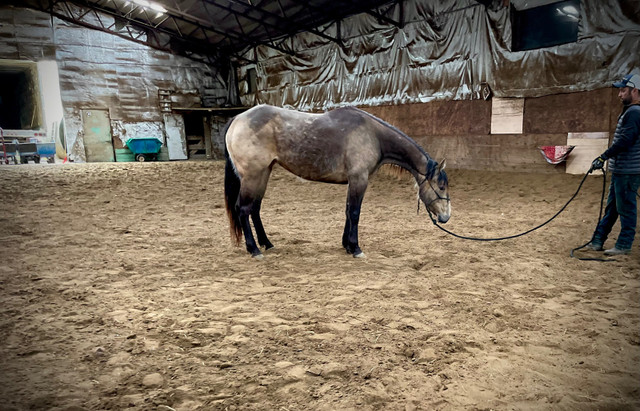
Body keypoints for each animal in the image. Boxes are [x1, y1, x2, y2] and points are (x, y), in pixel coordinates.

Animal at [225, 106, 450, 260]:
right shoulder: (359, 179)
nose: (446, 217)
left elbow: (348, 211)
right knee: (243, 209)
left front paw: (347, 245)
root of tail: (238, 119)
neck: (373, 135)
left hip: (264, 173)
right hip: (253, 176)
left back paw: (267, 243)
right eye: (441, 187)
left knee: (255, 209)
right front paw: (356, 248)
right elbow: (355, 212)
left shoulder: (353, 181)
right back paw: (254, 249)